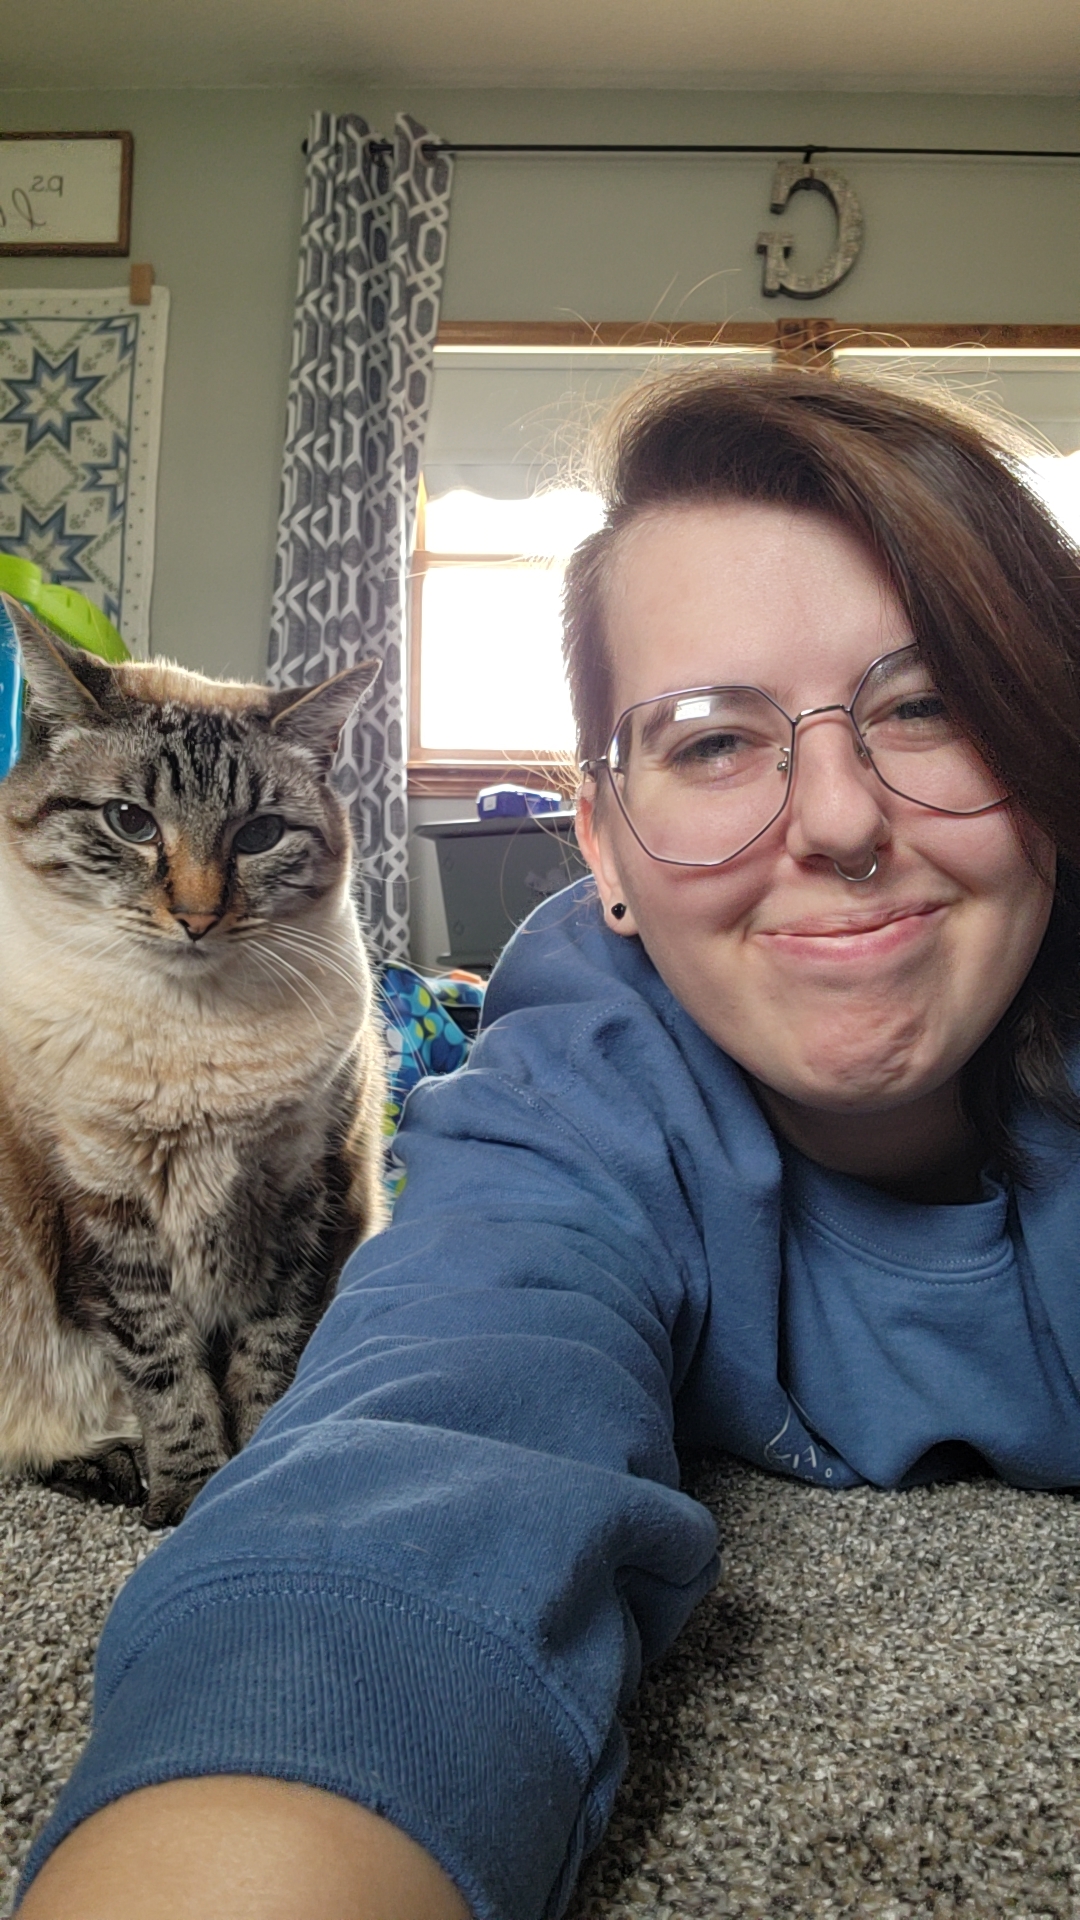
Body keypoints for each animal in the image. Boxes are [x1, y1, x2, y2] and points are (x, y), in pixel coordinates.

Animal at [0, 599, 386, 1528]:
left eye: (260, 836)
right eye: (131, 822)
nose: (198, 917)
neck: (195, 1037)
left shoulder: (303, 1196)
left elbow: (266, 1357)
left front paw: (255, 1475)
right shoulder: (102, 1210)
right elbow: (167, 1374)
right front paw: (189, 1496)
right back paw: (108, 1468)